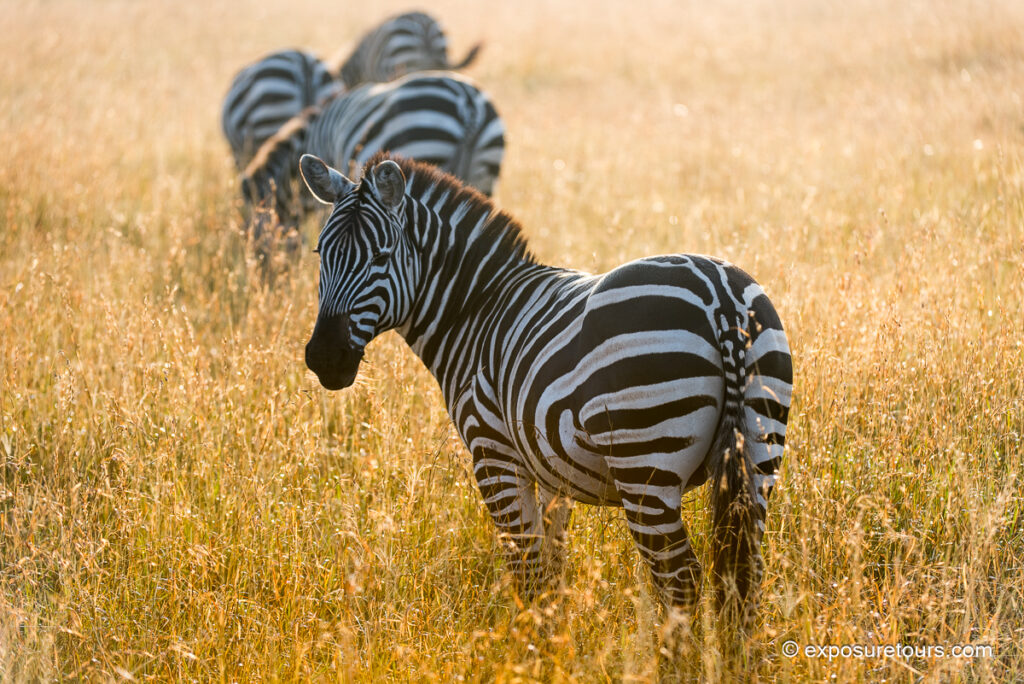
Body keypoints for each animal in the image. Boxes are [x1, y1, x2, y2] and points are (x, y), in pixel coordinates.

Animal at [298, 152, 793, 628]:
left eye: (380, 257)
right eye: (321, 253)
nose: (323, 358)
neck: (476, 309)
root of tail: (720, 299)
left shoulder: (493, 453)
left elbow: (527, 570)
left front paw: (528, 647)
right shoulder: (553, 469)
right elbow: (553, 572)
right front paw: (556, 641)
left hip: (646, 464)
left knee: (680, 582)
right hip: (758, 454)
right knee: (743, 578)